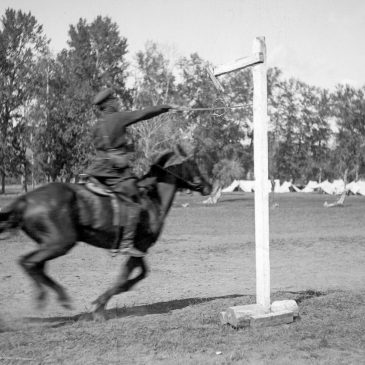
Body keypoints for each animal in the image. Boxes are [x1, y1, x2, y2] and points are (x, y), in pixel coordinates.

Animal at [0, 148, 210, 316]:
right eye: (193, 164)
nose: (208, 186)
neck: (152, 199)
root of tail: (25, 200)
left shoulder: (139, 249)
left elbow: (139, 275)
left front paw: (103, 301)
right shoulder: (140, 246)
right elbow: (126, 276)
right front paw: (99, 305)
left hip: (49, 243)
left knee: (35, 265)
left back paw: (59, 298)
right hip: (60, 243)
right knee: (29, 262)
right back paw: (46, 298)